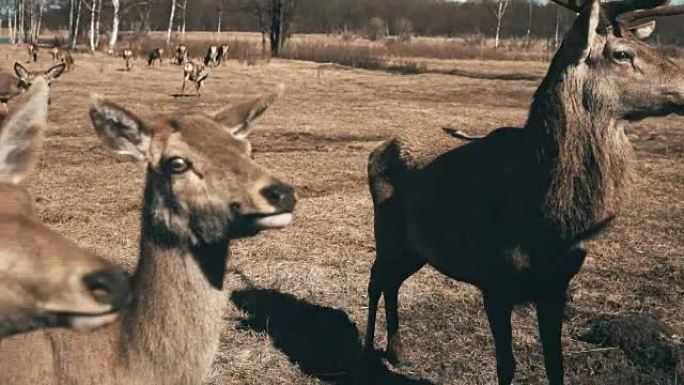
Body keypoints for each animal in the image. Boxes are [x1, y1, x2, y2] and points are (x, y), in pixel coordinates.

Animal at [360, 0, 684, 384]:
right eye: (622, 53)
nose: (683, 82)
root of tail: (376, 150)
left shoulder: (557, 284)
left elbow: (556, 364)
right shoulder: (494, 281)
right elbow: (506, 365)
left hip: (417, 248)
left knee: (392, 282)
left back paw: (397, 350)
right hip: (387, 233)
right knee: (375, 278)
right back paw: (365, 354)